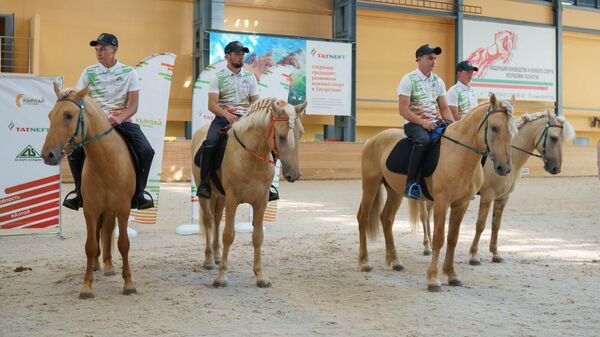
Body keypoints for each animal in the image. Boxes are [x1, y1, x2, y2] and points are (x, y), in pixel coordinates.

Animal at [41, 83, 137, 296]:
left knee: (108, 231)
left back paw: (108, 266)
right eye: (50, 115)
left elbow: (124, 244)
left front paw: (128, 284)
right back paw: (97, 266)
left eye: (68, 115)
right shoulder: (91, 210)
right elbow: (90, 246)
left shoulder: (123, 209)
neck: (106, 162)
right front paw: (86, 286)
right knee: (101, 232)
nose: (47, 155)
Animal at [192, 96, 304, 286]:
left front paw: (260, 276)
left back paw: (216, 255)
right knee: (208, 221)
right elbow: (229, 235)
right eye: (281, 136)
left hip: (220, 196)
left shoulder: (261, 201)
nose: (294, 175)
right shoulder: (232, 199)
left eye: (300, 134)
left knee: (216, 219)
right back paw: (208, 259)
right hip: (205, 195)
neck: (249, 155)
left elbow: (258, 236)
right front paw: (221, 277)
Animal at [356, 93, 516, 290]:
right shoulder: (442, 202)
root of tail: (373, 139)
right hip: (370, 184)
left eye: (513, 131)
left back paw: (395, 261)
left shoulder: (461, 204)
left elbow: (453, 239)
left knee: (386, 219)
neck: (459, 153)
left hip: (394, 191)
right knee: (363, 217)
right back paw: (365, 262)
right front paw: (433, 278)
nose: (504, 168)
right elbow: (439, 238)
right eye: (494, 128)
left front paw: (452, 275)